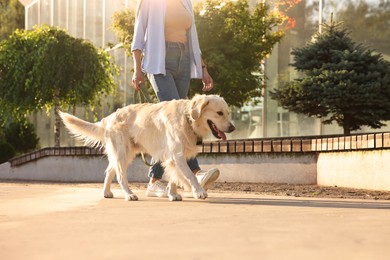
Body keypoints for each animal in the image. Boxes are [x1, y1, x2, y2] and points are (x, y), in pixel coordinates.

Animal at [58, 95, 235, 201]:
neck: (187, 118)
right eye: (219, 113)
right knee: (120, 176)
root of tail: (109, 117)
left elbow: (174, 177)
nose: (232, 128)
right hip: (123, 153)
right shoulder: (177, 155)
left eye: (228, 112)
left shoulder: (173, 157)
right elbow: (190, 176)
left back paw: (106, 192)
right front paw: (199, 192)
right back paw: (129, 194)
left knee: (109, 171)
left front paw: (173, 194)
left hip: (123, 153)